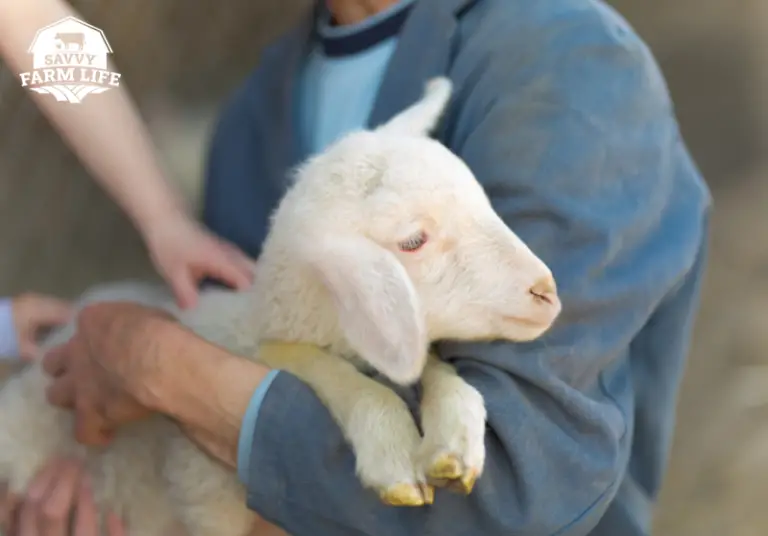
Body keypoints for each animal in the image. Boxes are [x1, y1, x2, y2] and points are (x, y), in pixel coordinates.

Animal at [0, 77, 561, 536]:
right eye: (413, 241)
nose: (546, 292)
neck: (249, 320)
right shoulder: (205, 498)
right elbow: (314, 365)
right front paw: (391, 453)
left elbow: (437, 369)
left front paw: (454, 439)